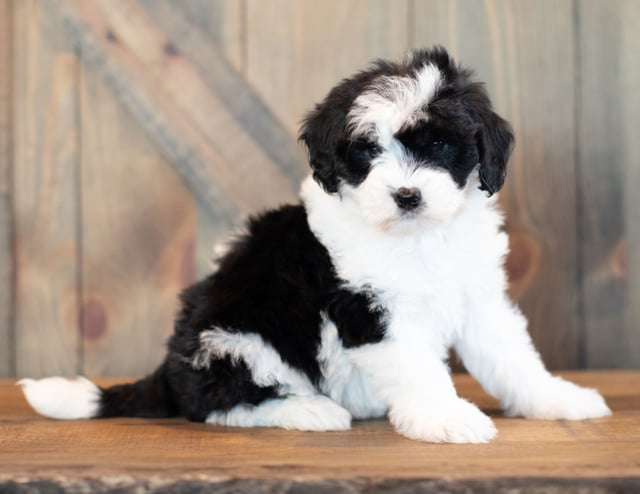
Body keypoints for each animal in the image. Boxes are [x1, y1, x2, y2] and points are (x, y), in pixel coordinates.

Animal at [20, 47, 608, 444]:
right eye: (366, 152)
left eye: (440, 144)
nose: (407, 194)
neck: (416, 239)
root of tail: (167, 371)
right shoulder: (370, 311)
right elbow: (418, 368)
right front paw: (446, 418)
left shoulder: (479, 298)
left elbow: (512, 356)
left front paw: (557, 398)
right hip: (242, 331)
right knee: (219, 402)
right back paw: (309, 411)